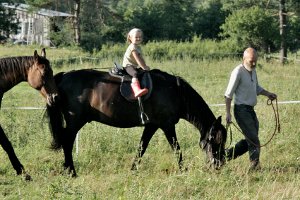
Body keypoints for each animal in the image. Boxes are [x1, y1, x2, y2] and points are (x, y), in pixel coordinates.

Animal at [45, 69, 226, 177]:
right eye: (215, 141)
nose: (218, 165)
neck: (176, 92)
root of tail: (64, 76)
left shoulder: (152, 126)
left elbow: (141, 147)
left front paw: (133, 169)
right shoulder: (167, 125)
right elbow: (176, 148)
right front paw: (183, 169)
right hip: (75, 122)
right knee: (67, 142)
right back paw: (71, 171)